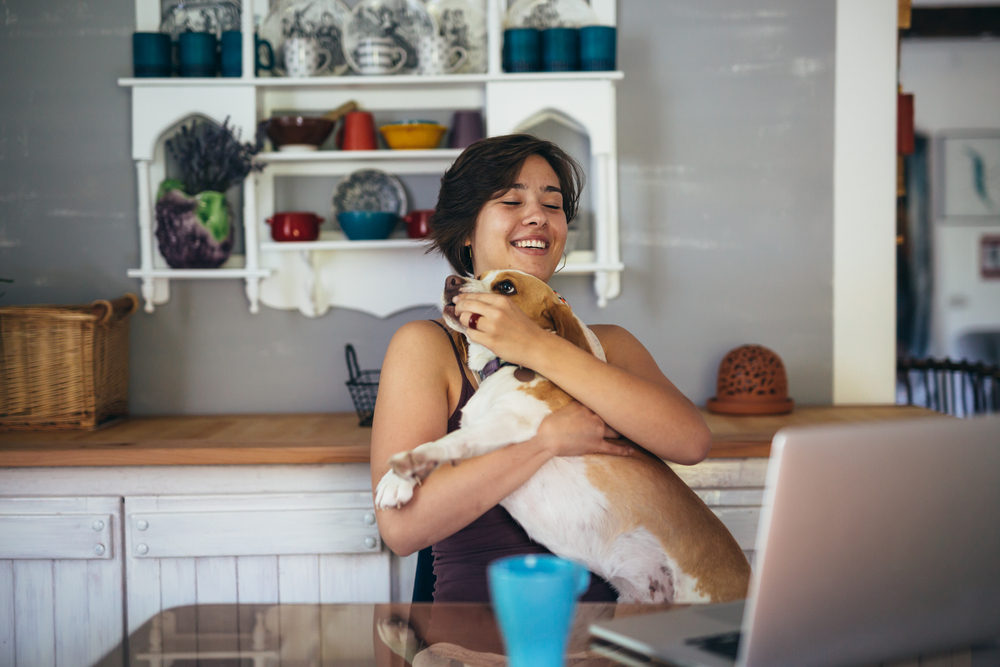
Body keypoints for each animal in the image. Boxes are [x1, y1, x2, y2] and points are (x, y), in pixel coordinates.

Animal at [376, 268, 752, 604]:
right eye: (478, 275)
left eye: (506, 287)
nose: (451, 280)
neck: (504, 368)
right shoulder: (481, 429)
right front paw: (400, 480)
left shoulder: (513, 421)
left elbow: (444, 444)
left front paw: (406, 467)